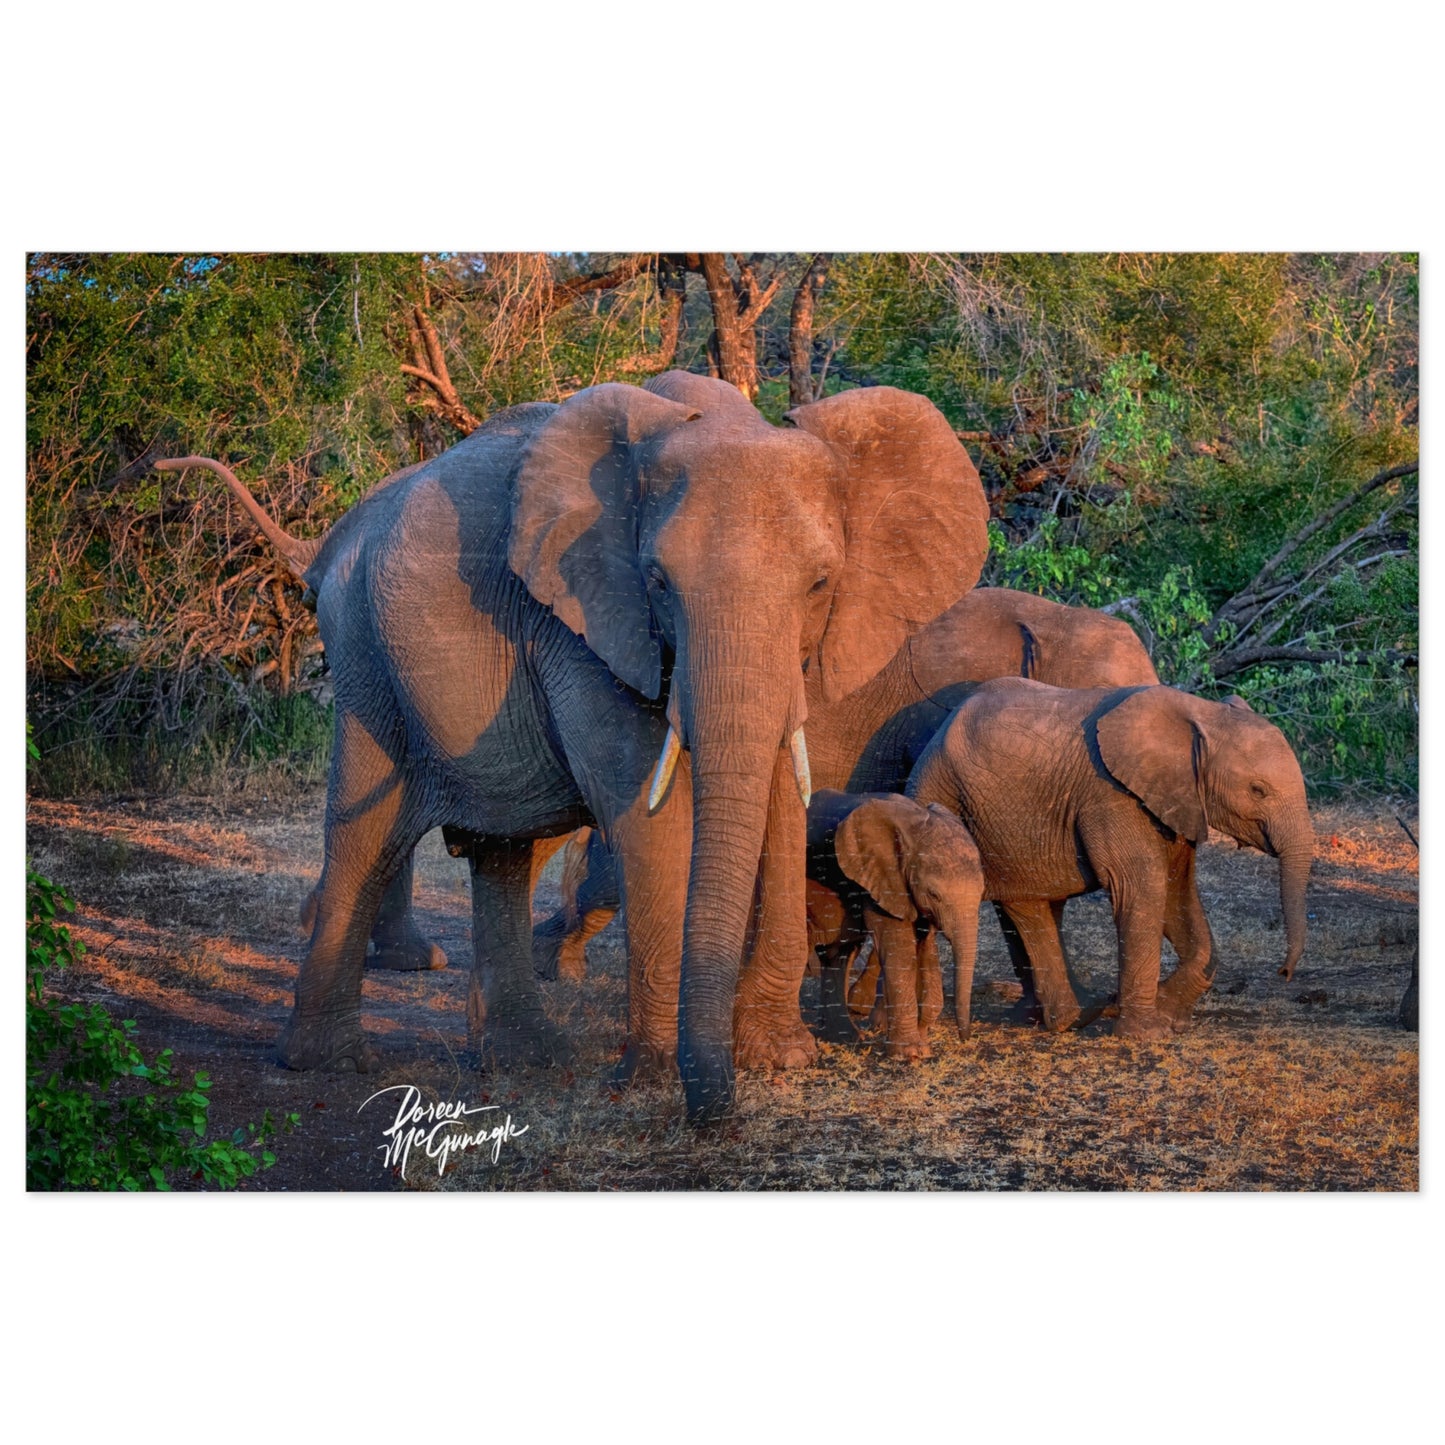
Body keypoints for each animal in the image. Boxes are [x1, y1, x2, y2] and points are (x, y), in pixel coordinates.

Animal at [805, 790, 983, 1059]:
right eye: (934, 894)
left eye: (983, 892)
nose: (966, 1039)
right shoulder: (882, 880)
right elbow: (899, 948)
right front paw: (910, 1053)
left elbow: (926, 948)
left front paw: (923, 1043)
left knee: (838, 955)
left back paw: (846, 1037)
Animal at [905, 678, 1314, 1038]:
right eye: (1258, 790)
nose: (1284, 973)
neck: (1200, 713)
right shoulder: (1113, 795)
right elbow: (1142, 886)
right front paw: (1146, 1033)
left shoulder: (1177, 801)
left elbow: (1177, 892)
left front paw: (1169, 1015)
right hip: (952, 797)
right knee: (1021, 898)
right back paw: (1079, 1014)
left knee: (1030, 903)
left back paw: (1068, 1014)